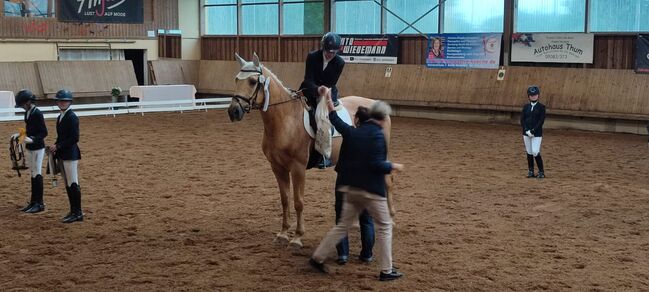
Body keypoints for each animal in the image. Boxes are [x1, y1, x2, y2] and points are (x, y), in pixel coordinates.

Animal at [228, 53, 390, 248]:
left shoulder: (298, 168)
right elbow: (284, 200)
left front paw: (297, 237)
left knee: (387, 183)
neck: (286, 119)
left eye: (252, 81)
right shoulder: (277, 167)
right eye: (236, 79)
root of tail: (375, 104)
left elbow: (298, 202)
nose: (233, 111)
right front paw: (283, 234)